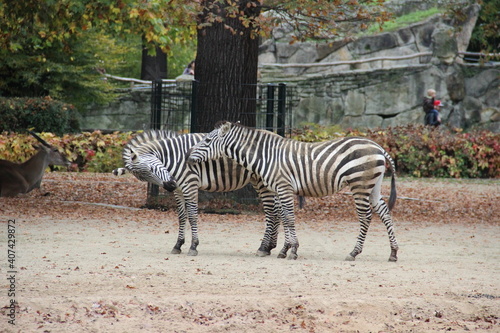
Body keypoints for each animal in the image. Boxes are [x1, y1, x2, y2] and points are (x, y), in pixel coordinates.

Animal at [112, 131, 282, 255]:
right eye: (144, 178)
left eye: (151, 169)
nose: (170, 185)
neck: (173, 157)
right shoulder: (179, 190)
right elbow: (181, 217)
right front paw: (178, 245)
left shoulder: (190, 185)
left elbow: (193, 215)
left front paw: (193, 246)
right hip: (262, 182)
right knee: (277, 211)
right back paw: (270, 247)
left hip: (263, 182)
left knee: (271, 212)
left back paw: (263, 248)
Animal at [187, 120, 398, 260]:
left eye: (207, 140)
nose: (188, 156)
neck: (267, 155)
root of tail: (378, 146)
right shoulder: (278, 189)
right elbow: (283, 216)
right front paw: (284, 249)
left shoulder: (284, 186)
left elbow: (288, 217)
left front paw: (293, 250)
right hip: (373, 186)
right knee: (384, 213)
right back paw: (393, 252)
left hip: (359, 184)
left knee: (366, 217)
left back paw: (354, 252)